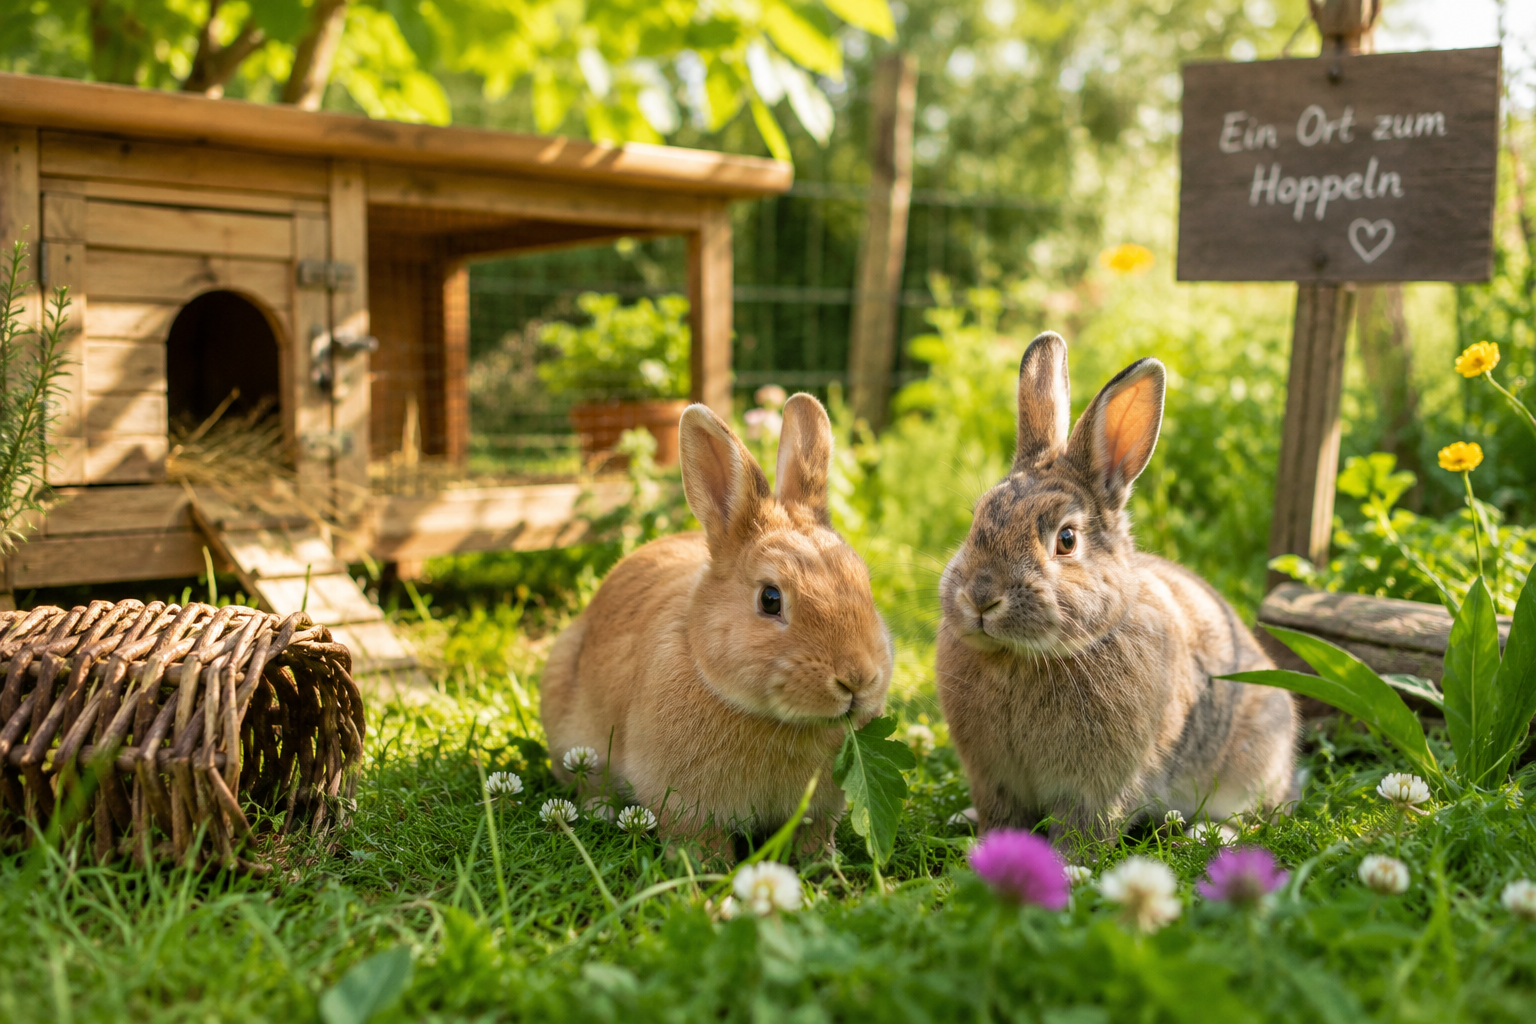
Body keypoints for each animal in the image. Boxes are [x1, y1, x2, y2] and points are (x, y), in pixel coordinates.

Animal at [540, 394, 893, 851]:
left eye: (864, 582)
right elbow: (700, 843)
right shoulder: (685, 804)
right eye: (770, 599)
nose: (857, 679)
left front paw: (823, 862)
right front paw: (704, 870)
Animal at [936, 331, 1295, 843]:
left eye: (1066, 540)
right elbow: (1000, 818)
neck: (1021, 658)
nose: (981, 597)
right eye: (977, 517)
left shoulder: (1096, 789)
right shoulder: (994, 781)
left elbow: (1084, 831)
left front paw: (1069, 862)